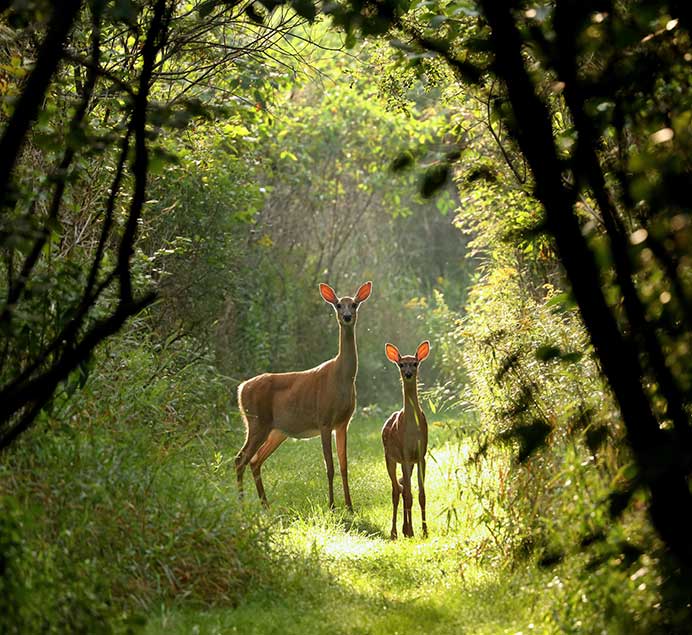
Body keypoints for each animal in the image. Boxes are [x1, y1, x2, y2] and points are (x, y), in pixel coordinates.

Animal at [234, 284, 374, 512]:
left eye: (354, 304)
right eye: (338, 304)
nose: (346, 316)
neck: (341, 378)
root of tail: (241, 388)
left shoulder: (343, 422)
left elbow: (344, 465)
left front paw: (350, 507)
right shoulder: (324, 419)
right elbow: (329, 466)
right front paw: (332, 506)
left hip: (276, 431)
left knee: (255, 460)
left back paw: (265, 506)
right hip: (256, 422)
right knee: (240, 459)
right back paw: (242, 505)